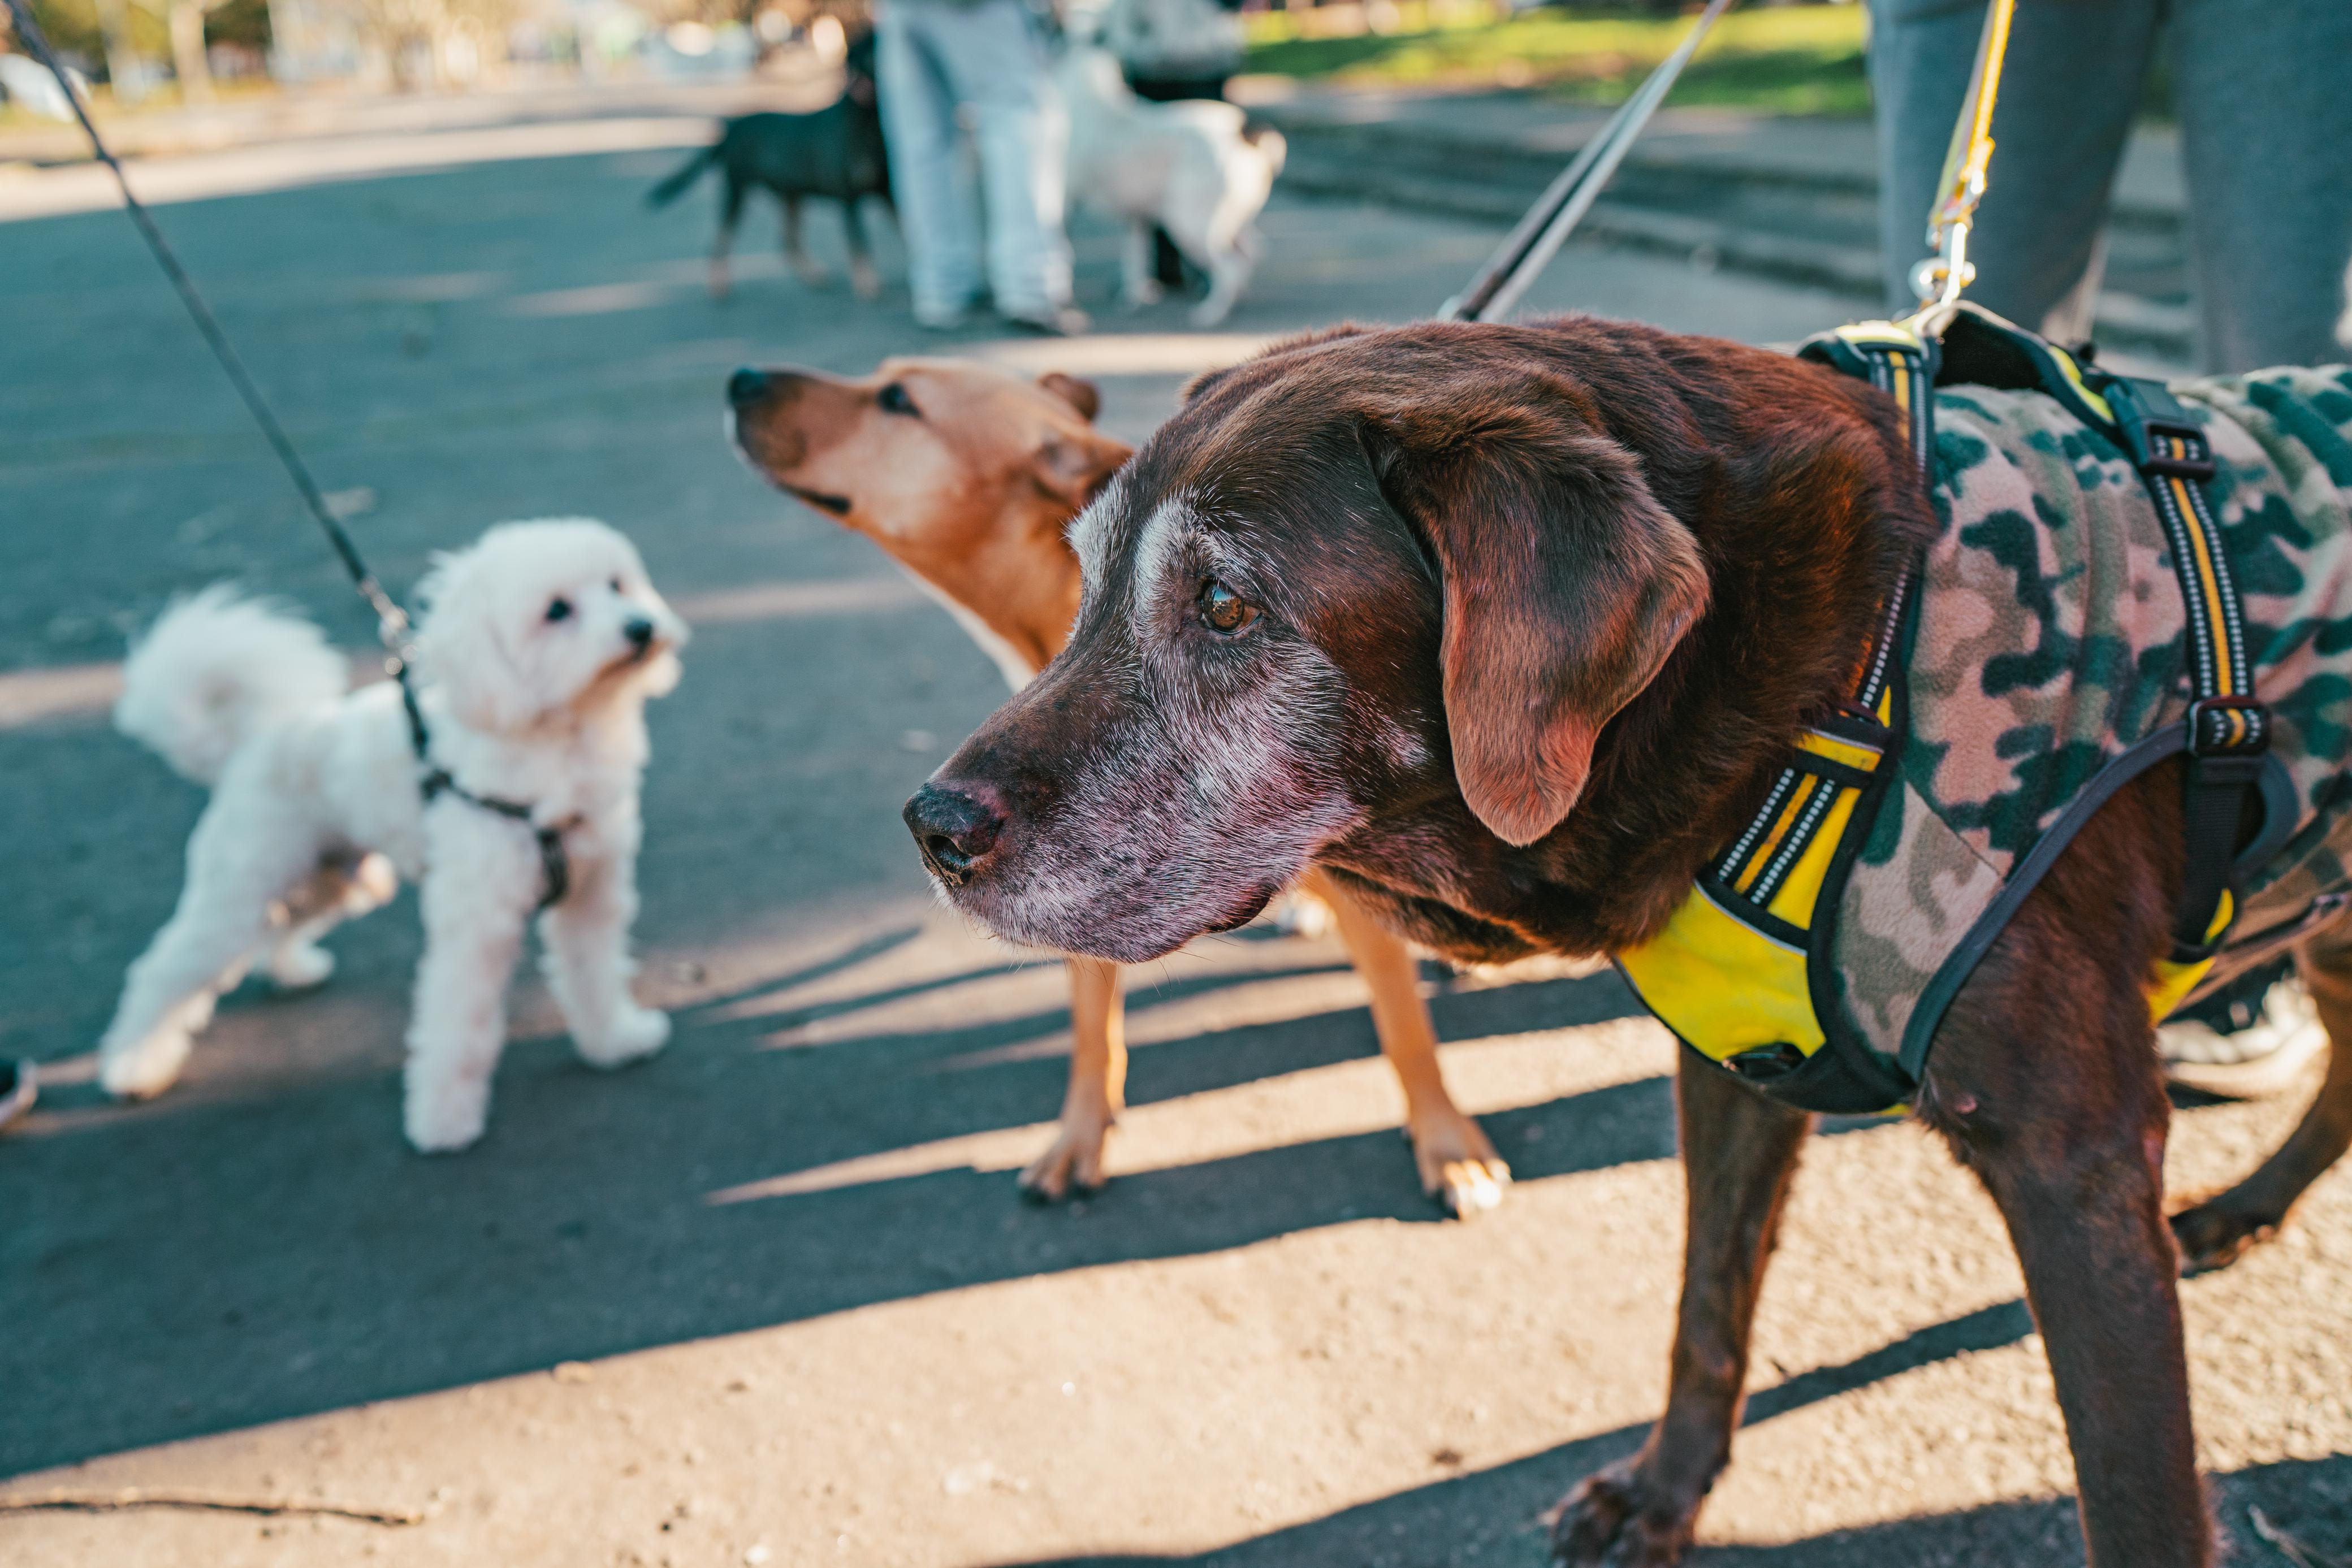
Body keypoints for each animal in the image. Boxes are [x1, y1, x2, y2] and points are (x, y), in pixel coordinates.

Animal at [103, 517, 686, 1151]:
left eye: (617, 584)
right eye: (557, 610)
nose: (640, 627)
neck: (557, 746)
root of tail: (251, 742)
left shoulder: (591, 894)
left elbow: (594, 977)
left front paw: (616, 1040)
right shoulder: (476, 923)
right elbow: (458, 1025)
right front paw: (443, 1121)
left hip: (331, 880)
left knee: (276, 930)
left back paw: (290, 969)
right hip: (241, 890)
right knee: (163, 971)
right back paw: (132, 1065)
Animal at [654, 29, 889, 301]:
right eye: (874, 46)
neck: (868, 120)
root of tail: (730, 130)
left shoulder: (888, 193)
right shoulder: (849, 198)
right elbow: (860, 243)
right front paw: (868, 285)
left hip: (791, 195)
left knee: (787, 242)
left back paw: (812, 276)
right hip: (738, 189)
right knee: (721, 238)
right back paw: (719, 287)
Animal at [724, 352, 1515, 1213]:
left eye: (899, 399)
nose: (741, 378)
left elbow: (1405, 1031)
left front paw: (1447, 1144)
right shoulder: (1074, 868)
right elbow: (1088, 1028)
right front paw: (1077, 1137)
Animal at [898, 322, 2352, 1568]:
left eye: (1223, 605)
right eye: (1090, 584)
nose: (931, 826)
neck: (1845, 667)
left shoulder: (2074, 1165)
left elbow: (2136, 1499)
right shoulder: (1741, 1068)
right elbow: (1705, 1308)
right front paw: (1662, 1496)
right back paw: (2243, 1209)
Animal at [1063, 46, 1289, 329]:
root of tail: (1244, 129)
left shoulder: (1065, 201)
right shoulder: (1136, 217)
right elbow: (1135, 260)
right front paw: (1133, 298)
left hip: (1189, 222)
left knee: (1230, 267)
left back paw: (1211, 312)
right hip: (1229, 220)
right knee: (1252, 255)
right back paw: (1234, 301)